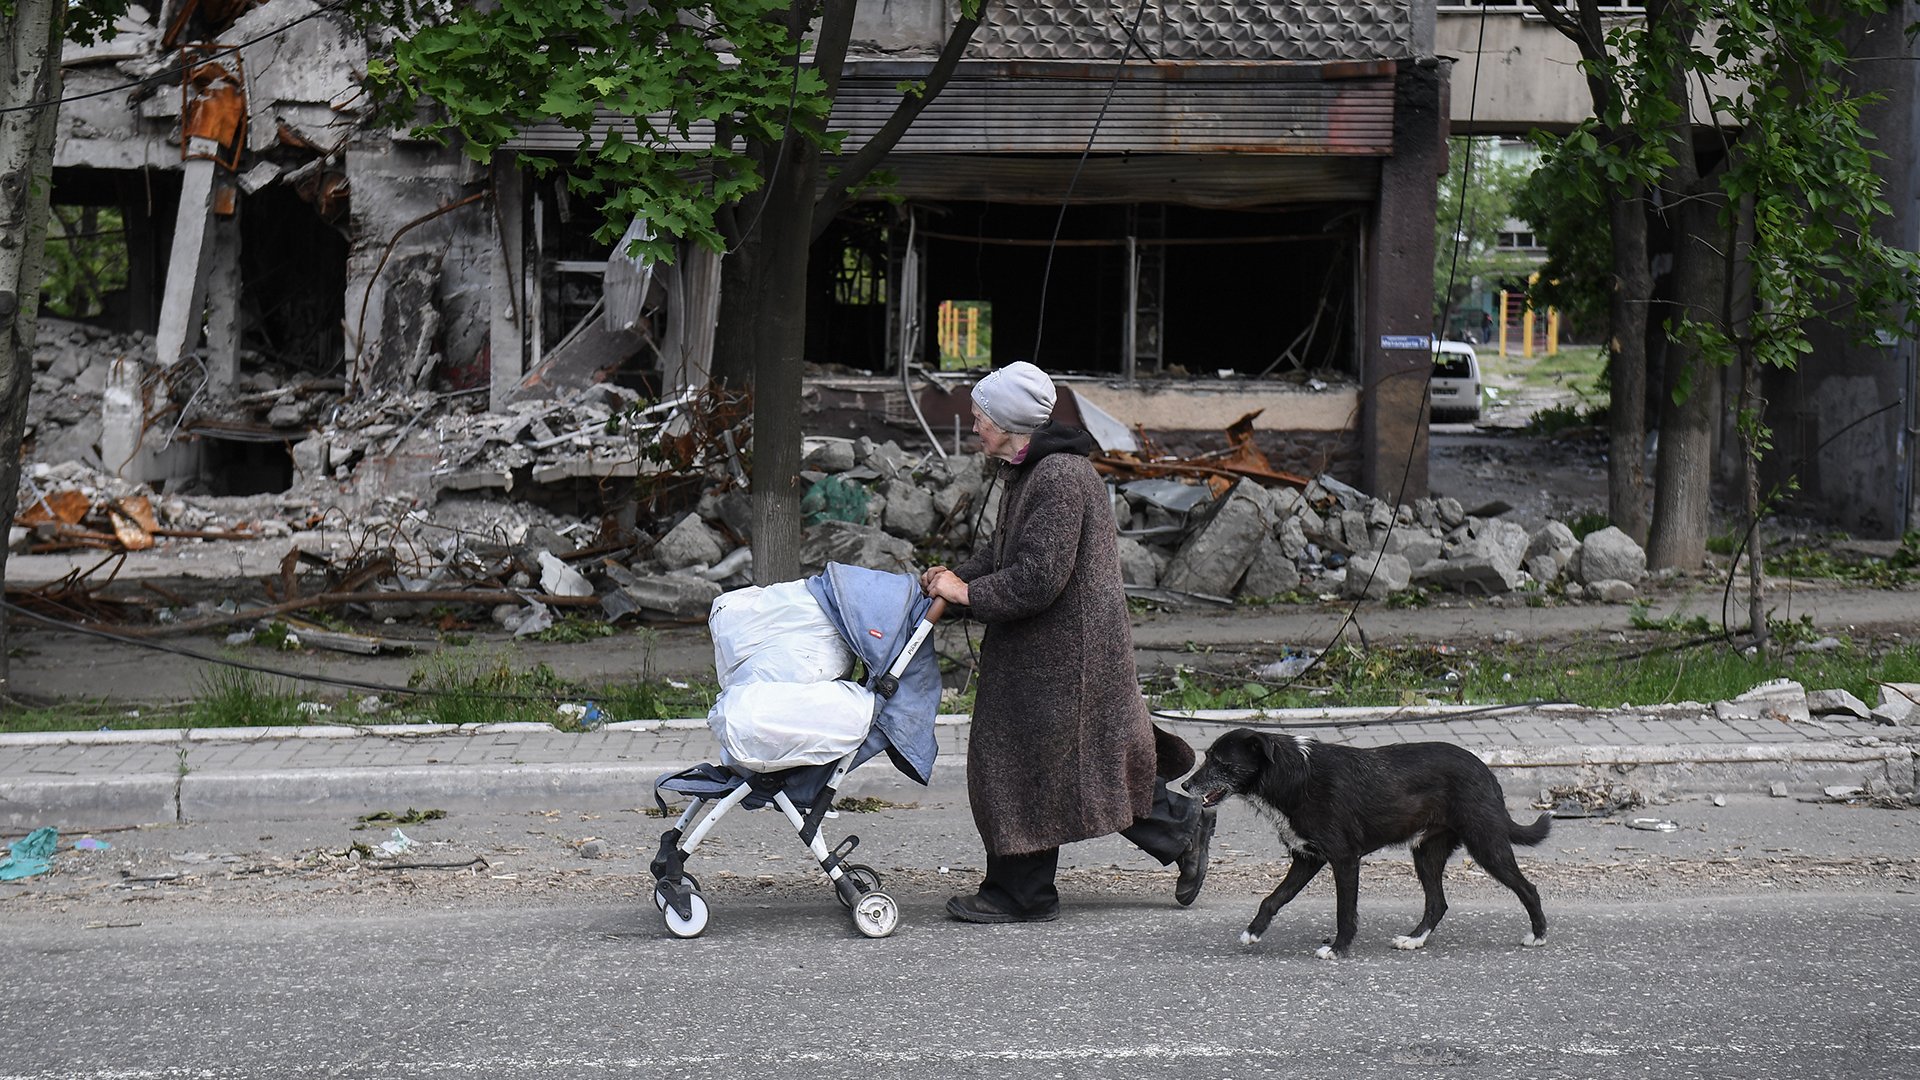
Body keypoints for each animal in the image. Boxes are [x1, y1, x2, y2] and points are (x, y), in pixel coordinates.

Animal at [1182, 726, 1543, 953]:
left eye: (1221, 762)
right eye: (1206, 756)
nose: (1185, 785)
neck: (1291, 774)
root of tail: (1487, 772)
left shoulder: (1344, 859)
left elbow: (1345, 909)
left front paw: (1338, 948)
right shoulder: (1307, 859)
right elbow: (1273, 898)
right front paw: (1253, 931)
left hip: (1486, 844)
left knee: (1528, 888)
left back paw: (1538, 935)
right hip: (1426, 853)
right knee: (1437, 903)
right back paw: (1414, 940)